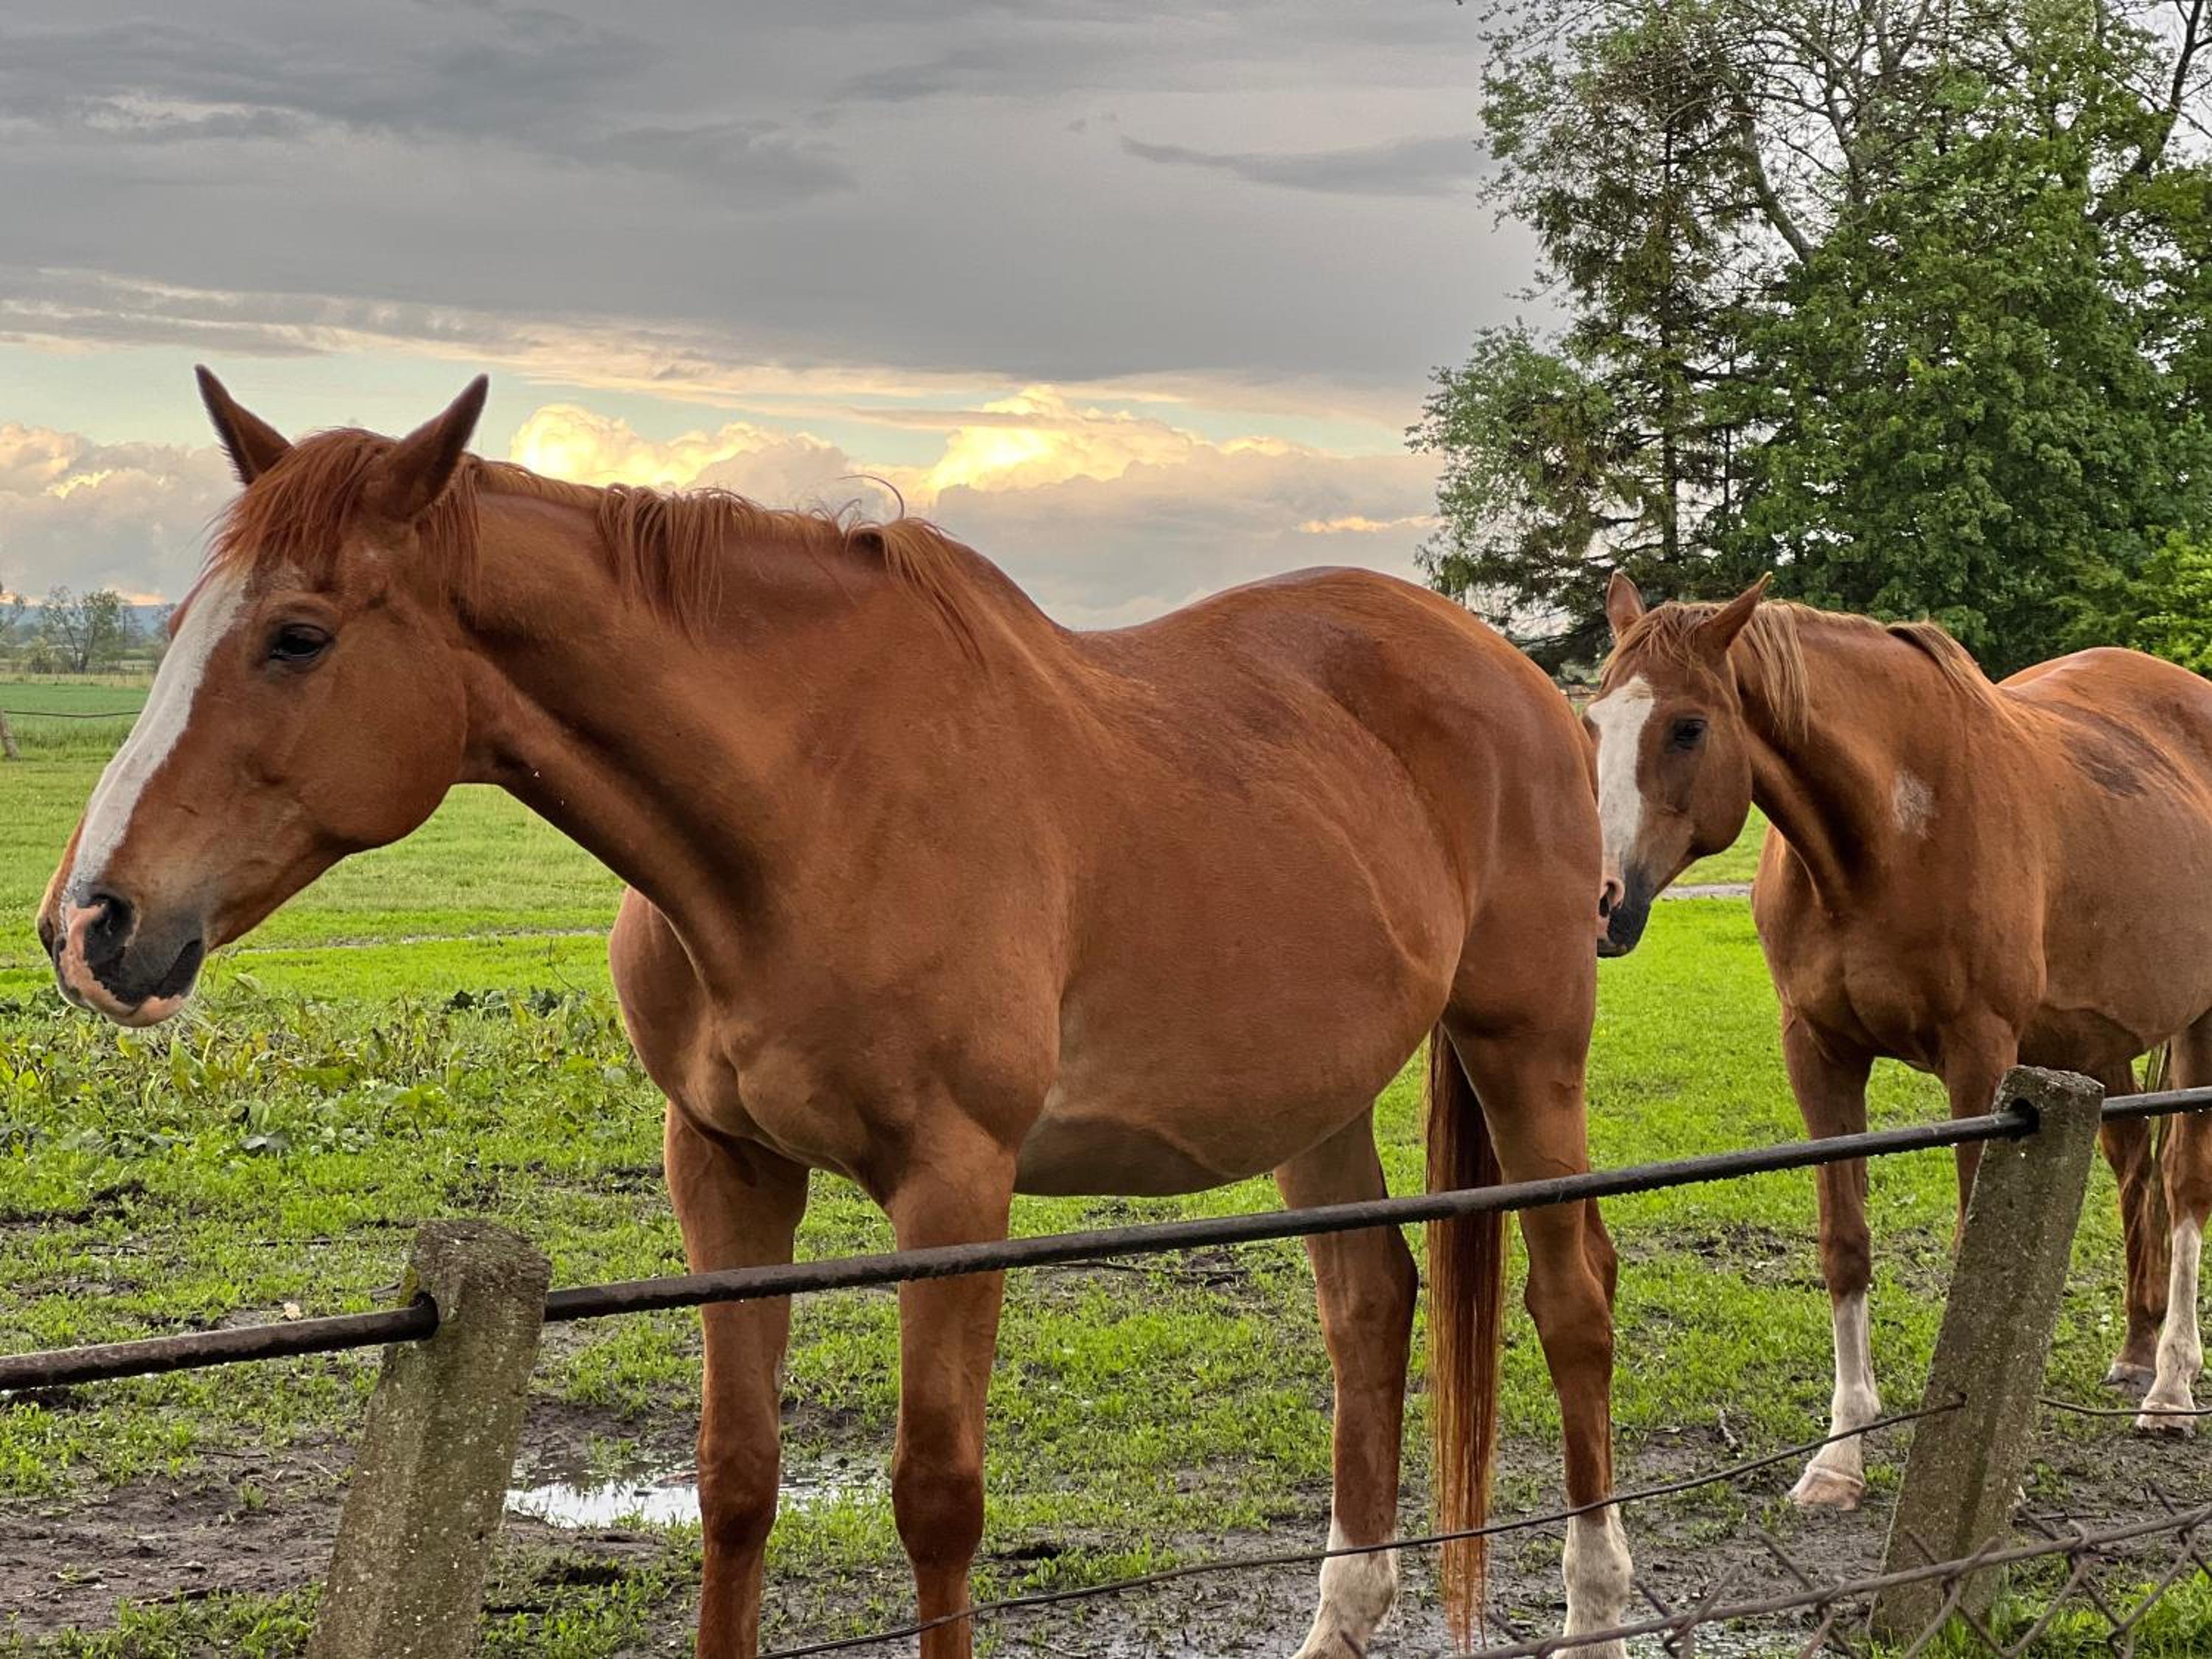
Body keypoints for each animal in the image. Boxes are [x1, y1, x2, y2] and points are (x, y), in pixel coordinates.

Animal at [35, 372, 1636, 1659]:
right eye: (177, 632)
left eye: (299, 637)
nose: (90, 924)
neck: (809, 813)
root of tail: (1520, 678)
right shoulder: (728, 1169)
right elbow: (737, 1483)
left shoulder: (956, 1188)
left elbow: (937, 1500)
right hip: (1317, 1100)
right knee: (1370, 1307)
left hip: (1529, 1049)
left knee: (1572, 1300)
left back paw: (1597, 1607)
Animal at [1587, 573, 2212, 1508]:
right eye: (1594, 722)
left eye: (1688, 726)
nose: (1605, 903)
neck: (1889, 833)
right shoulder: (1818, 1053)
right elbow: (1845, 1249)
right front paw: (1839, 1458)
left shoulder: (1981, 1062)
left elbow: (1974, 1259)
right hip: (2097, 1049)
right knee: (2138, 1175)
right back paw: (2137, 1352)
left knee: (2184, 1187)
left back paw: (2171, 1387)